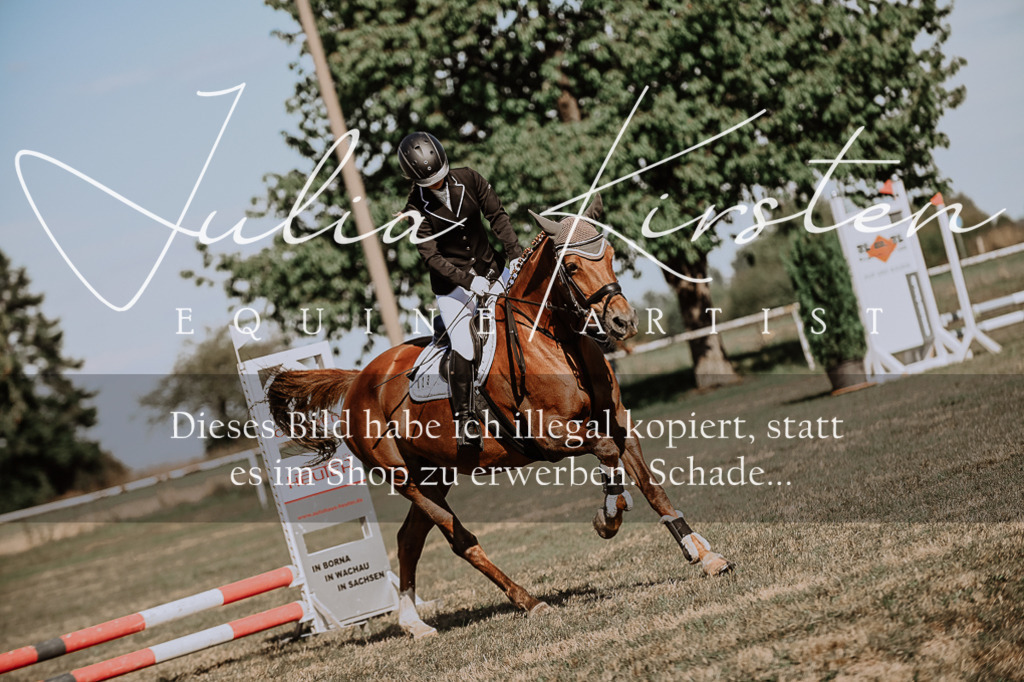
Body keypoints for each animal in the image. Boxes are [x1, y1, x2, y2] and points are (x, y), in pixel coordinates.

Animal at [266, 195, 733, 639]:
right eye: (572, 266)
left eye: (612, 255)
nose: (623, 322)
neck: (554, 339)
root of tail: (358, 381)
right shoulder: (550, 436)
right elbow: (605, 455)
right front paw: (609, 518)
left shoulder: (617, 420)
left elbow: (650, 486)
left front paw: (703, 554)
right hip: (406, 479)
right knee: (459, 541)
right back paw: (529, 602)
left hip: (435, 476)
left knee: (408, 540)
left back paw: (414, 623)